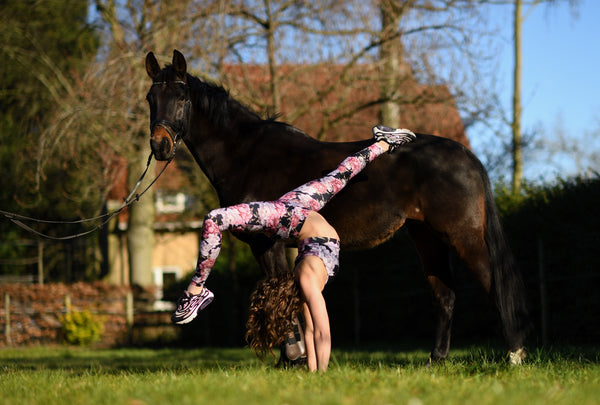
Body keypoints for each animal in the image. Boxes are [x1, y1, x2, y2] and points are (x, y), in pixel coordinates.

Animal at [145, 49, 528, 362]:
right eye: (150, 98)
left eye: (181, 96)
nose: (160, 146)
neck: (246, 154)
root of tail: (465, 155)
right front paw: (295, 358)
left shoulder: (265, 243)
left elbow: (280, 294)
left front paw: (292, 358)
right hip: (426, 237)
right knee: (445, 296)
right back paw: (437, 359)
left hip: (463, 236)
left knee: (494, 286)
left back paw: (514, 356)